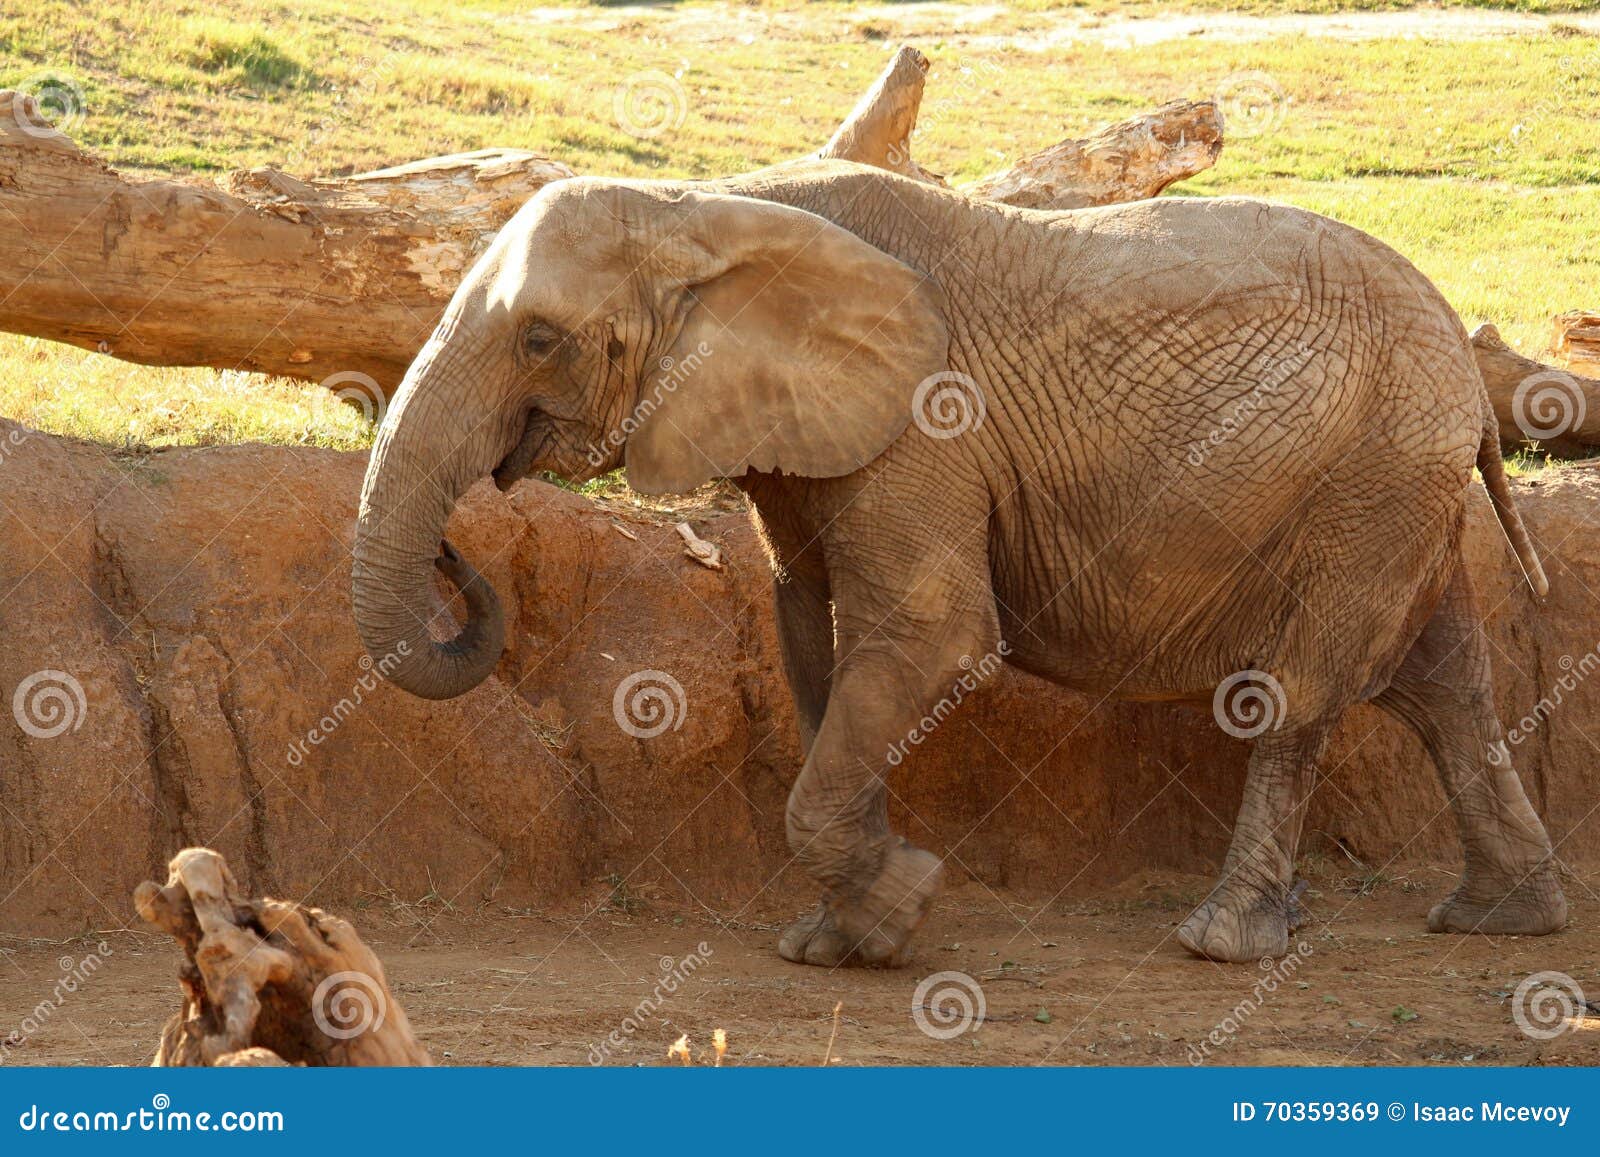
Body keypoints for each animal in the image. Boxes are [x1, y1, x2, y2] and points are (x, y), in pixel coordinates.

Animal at [350, 158, 1567, 966]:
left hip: (1370, 475)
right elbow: (814, 639)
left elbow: (931, 635)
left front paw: (901, 910)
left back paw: (1221, 942)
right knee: (1445, 684)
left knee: (1310, 688)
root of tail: (1466, 358)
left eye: (539, 339)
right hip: (1397, 482)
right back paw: (1502, 918)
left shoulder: (924, 429)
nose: (459, 546)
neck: (706, 204)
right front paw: (835, 938)